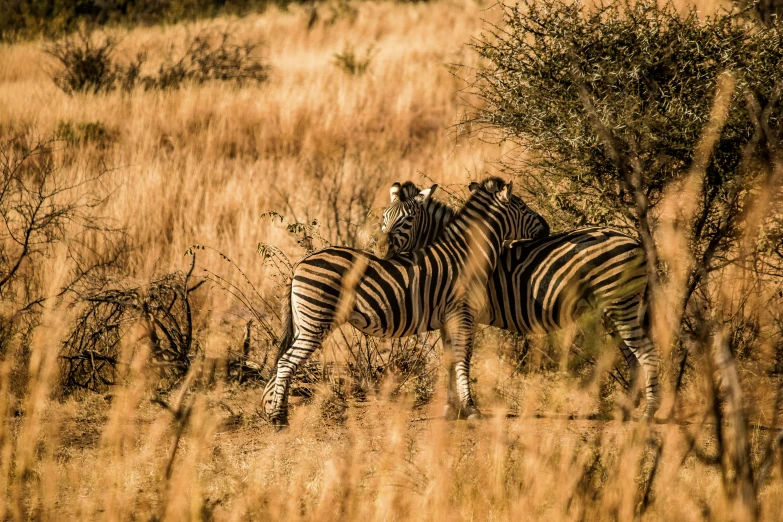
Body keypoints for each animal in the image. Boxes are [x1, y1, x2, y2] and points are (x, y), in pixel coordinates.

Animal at [264, 177, 552, 424]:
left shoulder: (448, 319)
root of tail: (300, 263)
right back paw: (279, 419)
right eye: (523, 207)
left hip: (304, 322)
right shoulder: (463, 312)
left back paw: (277, 410)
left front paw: (452, 409)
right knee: (286, 362)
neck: (465, 254)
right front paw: (471, 409)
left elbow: (450, 359)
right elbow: (464, 358)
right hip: (316, 323)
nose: (547, 226)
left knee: (282, 362)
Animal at [380, 181, 660, 416]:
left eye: (408, 220)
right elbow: (450, 358)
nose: (383, 248)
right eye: (383, 219)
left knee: (646, 352)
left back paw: (649, 412)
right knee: (632, 355)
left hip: (621, 304)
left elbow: (459, 357)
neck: (450, 253)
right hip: (614, 309)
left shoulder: (461, 313)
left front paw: (461, 407)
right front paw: (451, 409)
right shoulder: (446, 317)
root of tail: (635, 242)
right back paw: (627, 409)